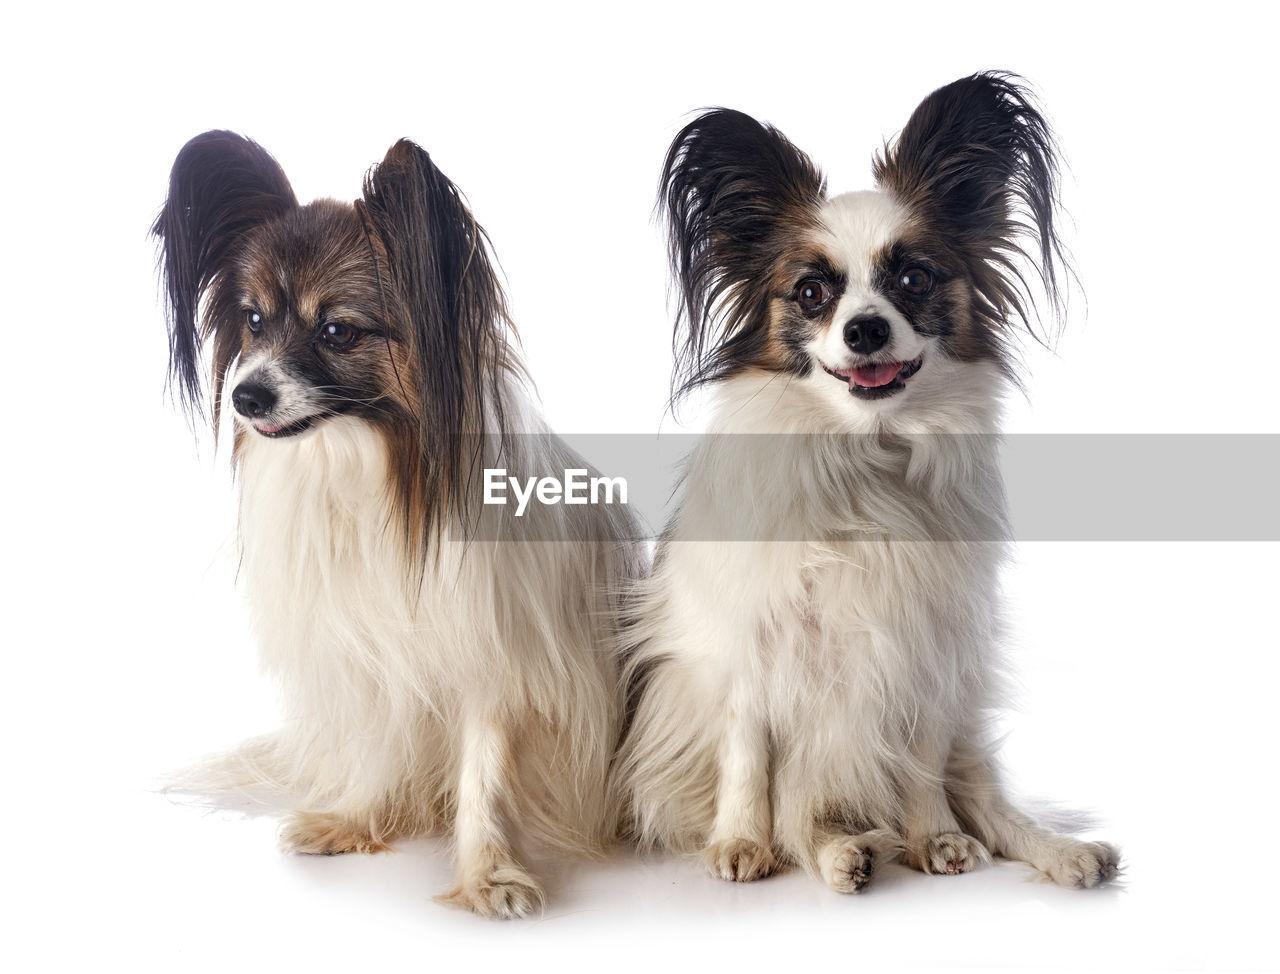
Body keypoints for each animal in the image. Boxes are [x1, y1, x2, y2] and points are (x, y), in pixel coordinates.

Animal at [153, 133, 640, 916]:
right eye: (253, 320)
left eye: (336, 331)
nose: (246, 396)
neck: (371, 470)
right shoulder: (371, 653)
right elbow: (378, 749)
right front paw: (356, 822)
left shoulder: (495, 667)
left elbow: (483, 774)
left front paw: (489, 875)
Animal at [611, 72, 1121, 890]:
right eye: (811, 294)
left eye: (913, 279)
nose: (866, 329)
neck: (863, 458)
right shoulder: (748, 647)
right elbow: (749, 758)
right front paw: (740, 842)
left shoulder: (927, 652)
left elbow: (920, 765)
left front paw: (936, 837)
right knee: (808, 817)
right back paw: (844, 854)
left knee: (987, 805)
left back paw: (1058, 852)